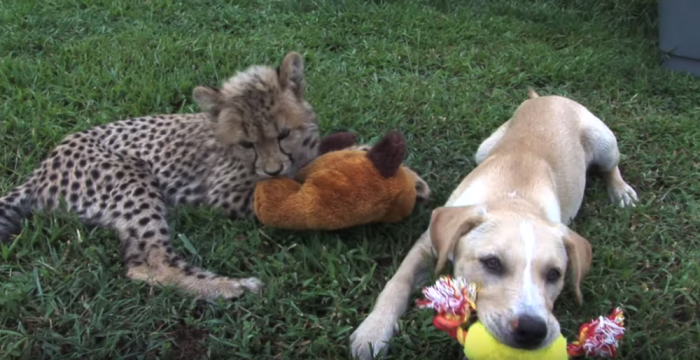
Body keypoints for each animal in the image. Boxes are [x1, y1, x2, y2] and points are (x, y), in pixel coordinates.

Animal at [350, 88, 640, 360]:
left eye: (554, 274)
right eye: (492, 263)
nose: (532, 331)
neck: (512, 200)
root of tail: (547, 97)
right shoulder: (428, 244)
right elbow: (397, 284)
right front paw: (372, 332)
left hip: (604, 141)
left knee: (611, 167)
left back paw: (620, 191)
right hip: (484, 149)